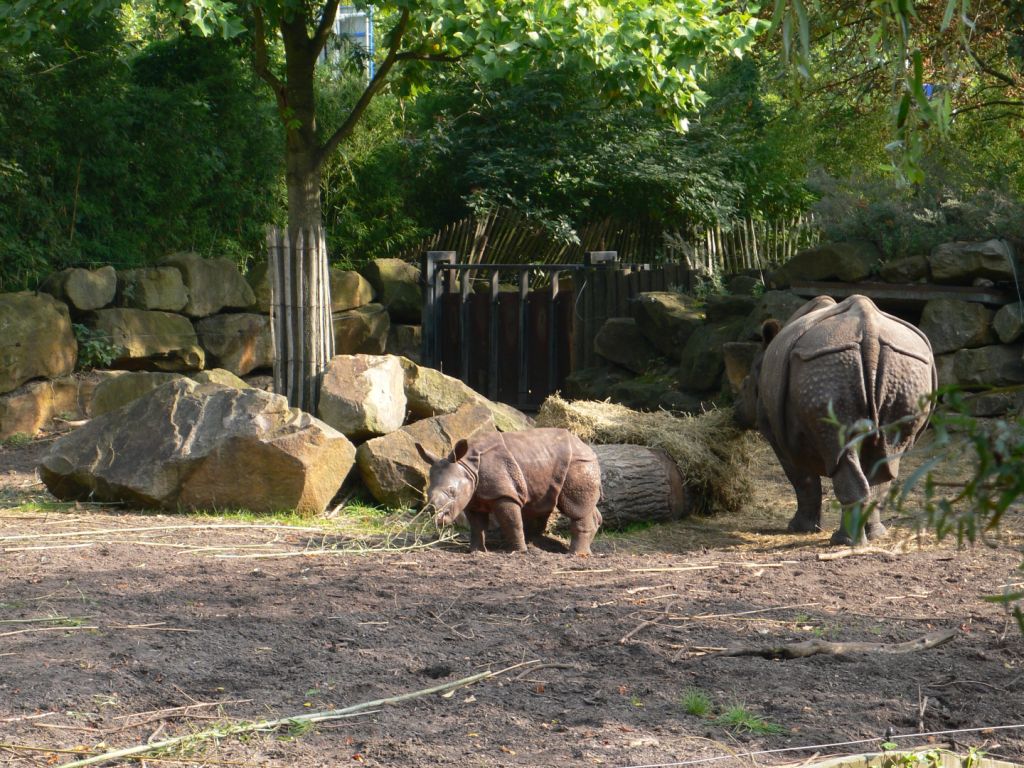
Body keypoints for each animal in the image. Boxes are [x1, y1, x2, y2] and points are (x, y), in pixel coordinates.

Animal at [416, 429, 603, 555]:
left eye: (452, 491)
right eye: (427, 491)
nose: (436, 516)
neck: (468, 466)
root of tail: (588, 447)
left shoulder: (504, 494)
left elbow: (512, 521)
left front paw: (520, 552)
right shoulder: (473, 497)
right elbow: (477, 525)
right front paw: (477, 551)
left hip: (579, 463)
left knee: (576, 508)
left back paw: (575, 555)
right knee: (586, 507)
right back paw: (585, 551)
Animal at [736, 295, 937, 545]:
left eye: (744, 385)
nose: (735, 413)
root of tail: (869, 330)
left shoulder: (776, 434)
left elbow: (802, 480)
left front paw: (800, 528)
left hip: (826, 364)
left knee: (838, 449)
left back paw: (844, 541)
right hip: (903, 367)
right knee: (886, 456)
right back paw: (873, 535)